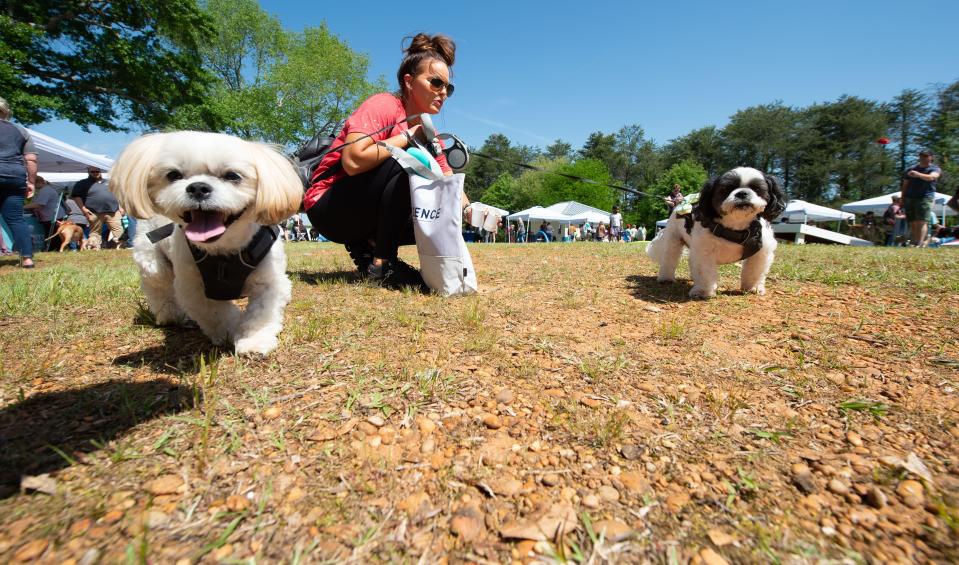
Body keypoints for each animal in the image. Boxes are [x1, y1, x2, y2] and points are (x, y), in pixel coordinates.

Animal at [109, 130, 306, 354]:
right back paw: (170, 315)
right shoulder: (193, 288)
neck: (224, 252)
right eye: (173, 175)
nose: (197, 187)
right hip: (151, 259)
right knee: (158, 286)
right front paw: (232, 331)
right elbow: (216, 314)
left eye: (232, 176)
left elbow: (260, 314)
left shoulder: (269, 281)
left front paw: (254, 340)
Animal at [644, 165, 788, 298]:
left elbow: (754, 271)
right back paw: (666, 278)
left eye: (757, 189)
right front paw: (703, 291)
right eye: (726, 189)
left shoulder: (761, 252)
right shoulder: (703, 251)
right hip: (673, 241)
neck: (735, 227)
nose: (742, 193)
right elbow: (705, 272)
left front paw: (753, 287)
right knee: (669, 259)